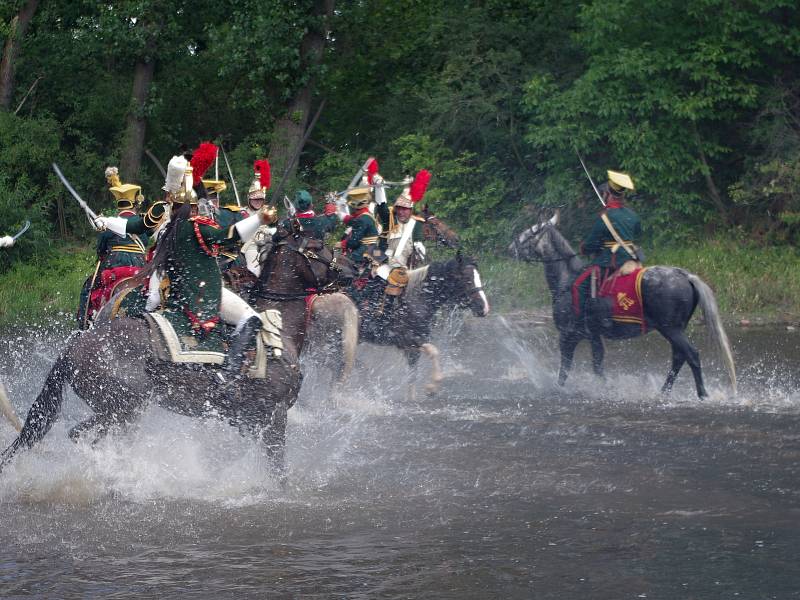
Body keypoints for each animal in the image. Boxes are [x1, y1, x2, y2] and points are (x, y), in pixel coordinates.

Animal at [0, 227, 340, 472]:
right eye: (319, 246)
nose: (347, 272)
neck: (276, 332)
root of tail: (74, 346)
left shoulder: (248, 420)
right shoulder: (274, 416)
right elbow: (278, 471)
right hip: (123, 409)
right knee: (83, 436)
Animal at [308, 253, 490, 394]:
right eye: (466, 279)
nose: (484, 308)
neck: (416, 299)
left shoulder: (411, 347)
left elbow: (413, 375)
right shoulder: (407, 340)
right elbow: (433, 352)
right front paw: (432, 386)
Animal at [510, 212, 736, 398]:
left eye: (528, 233)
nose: (511, 248)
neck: (567, 280)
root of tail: (685, 275)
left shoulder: (568, 335)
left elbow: (565, 369)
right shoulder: (593, 335)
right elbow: (598, 365)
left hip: (671, 329)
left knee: (691, 355)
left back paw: (702, 394)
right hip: (676, 329)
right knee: (679, 357)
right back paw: (663, 392)